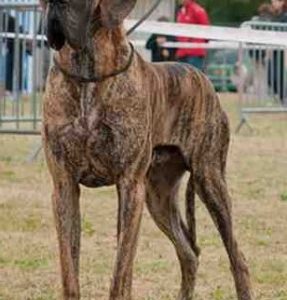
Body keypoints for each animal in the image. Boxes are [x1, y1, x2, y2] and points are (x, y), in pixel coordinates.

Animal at [41, 0, 254, 300]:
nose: (56, 8)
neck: (88, 71)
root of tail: (202, 77)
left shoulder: (130, 186)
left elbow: (121, 271)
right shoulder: (64, 186)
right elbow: (69, 268)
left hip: (209, 181)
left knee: (237, 257)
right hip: (158, 197)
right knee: (189, 253)